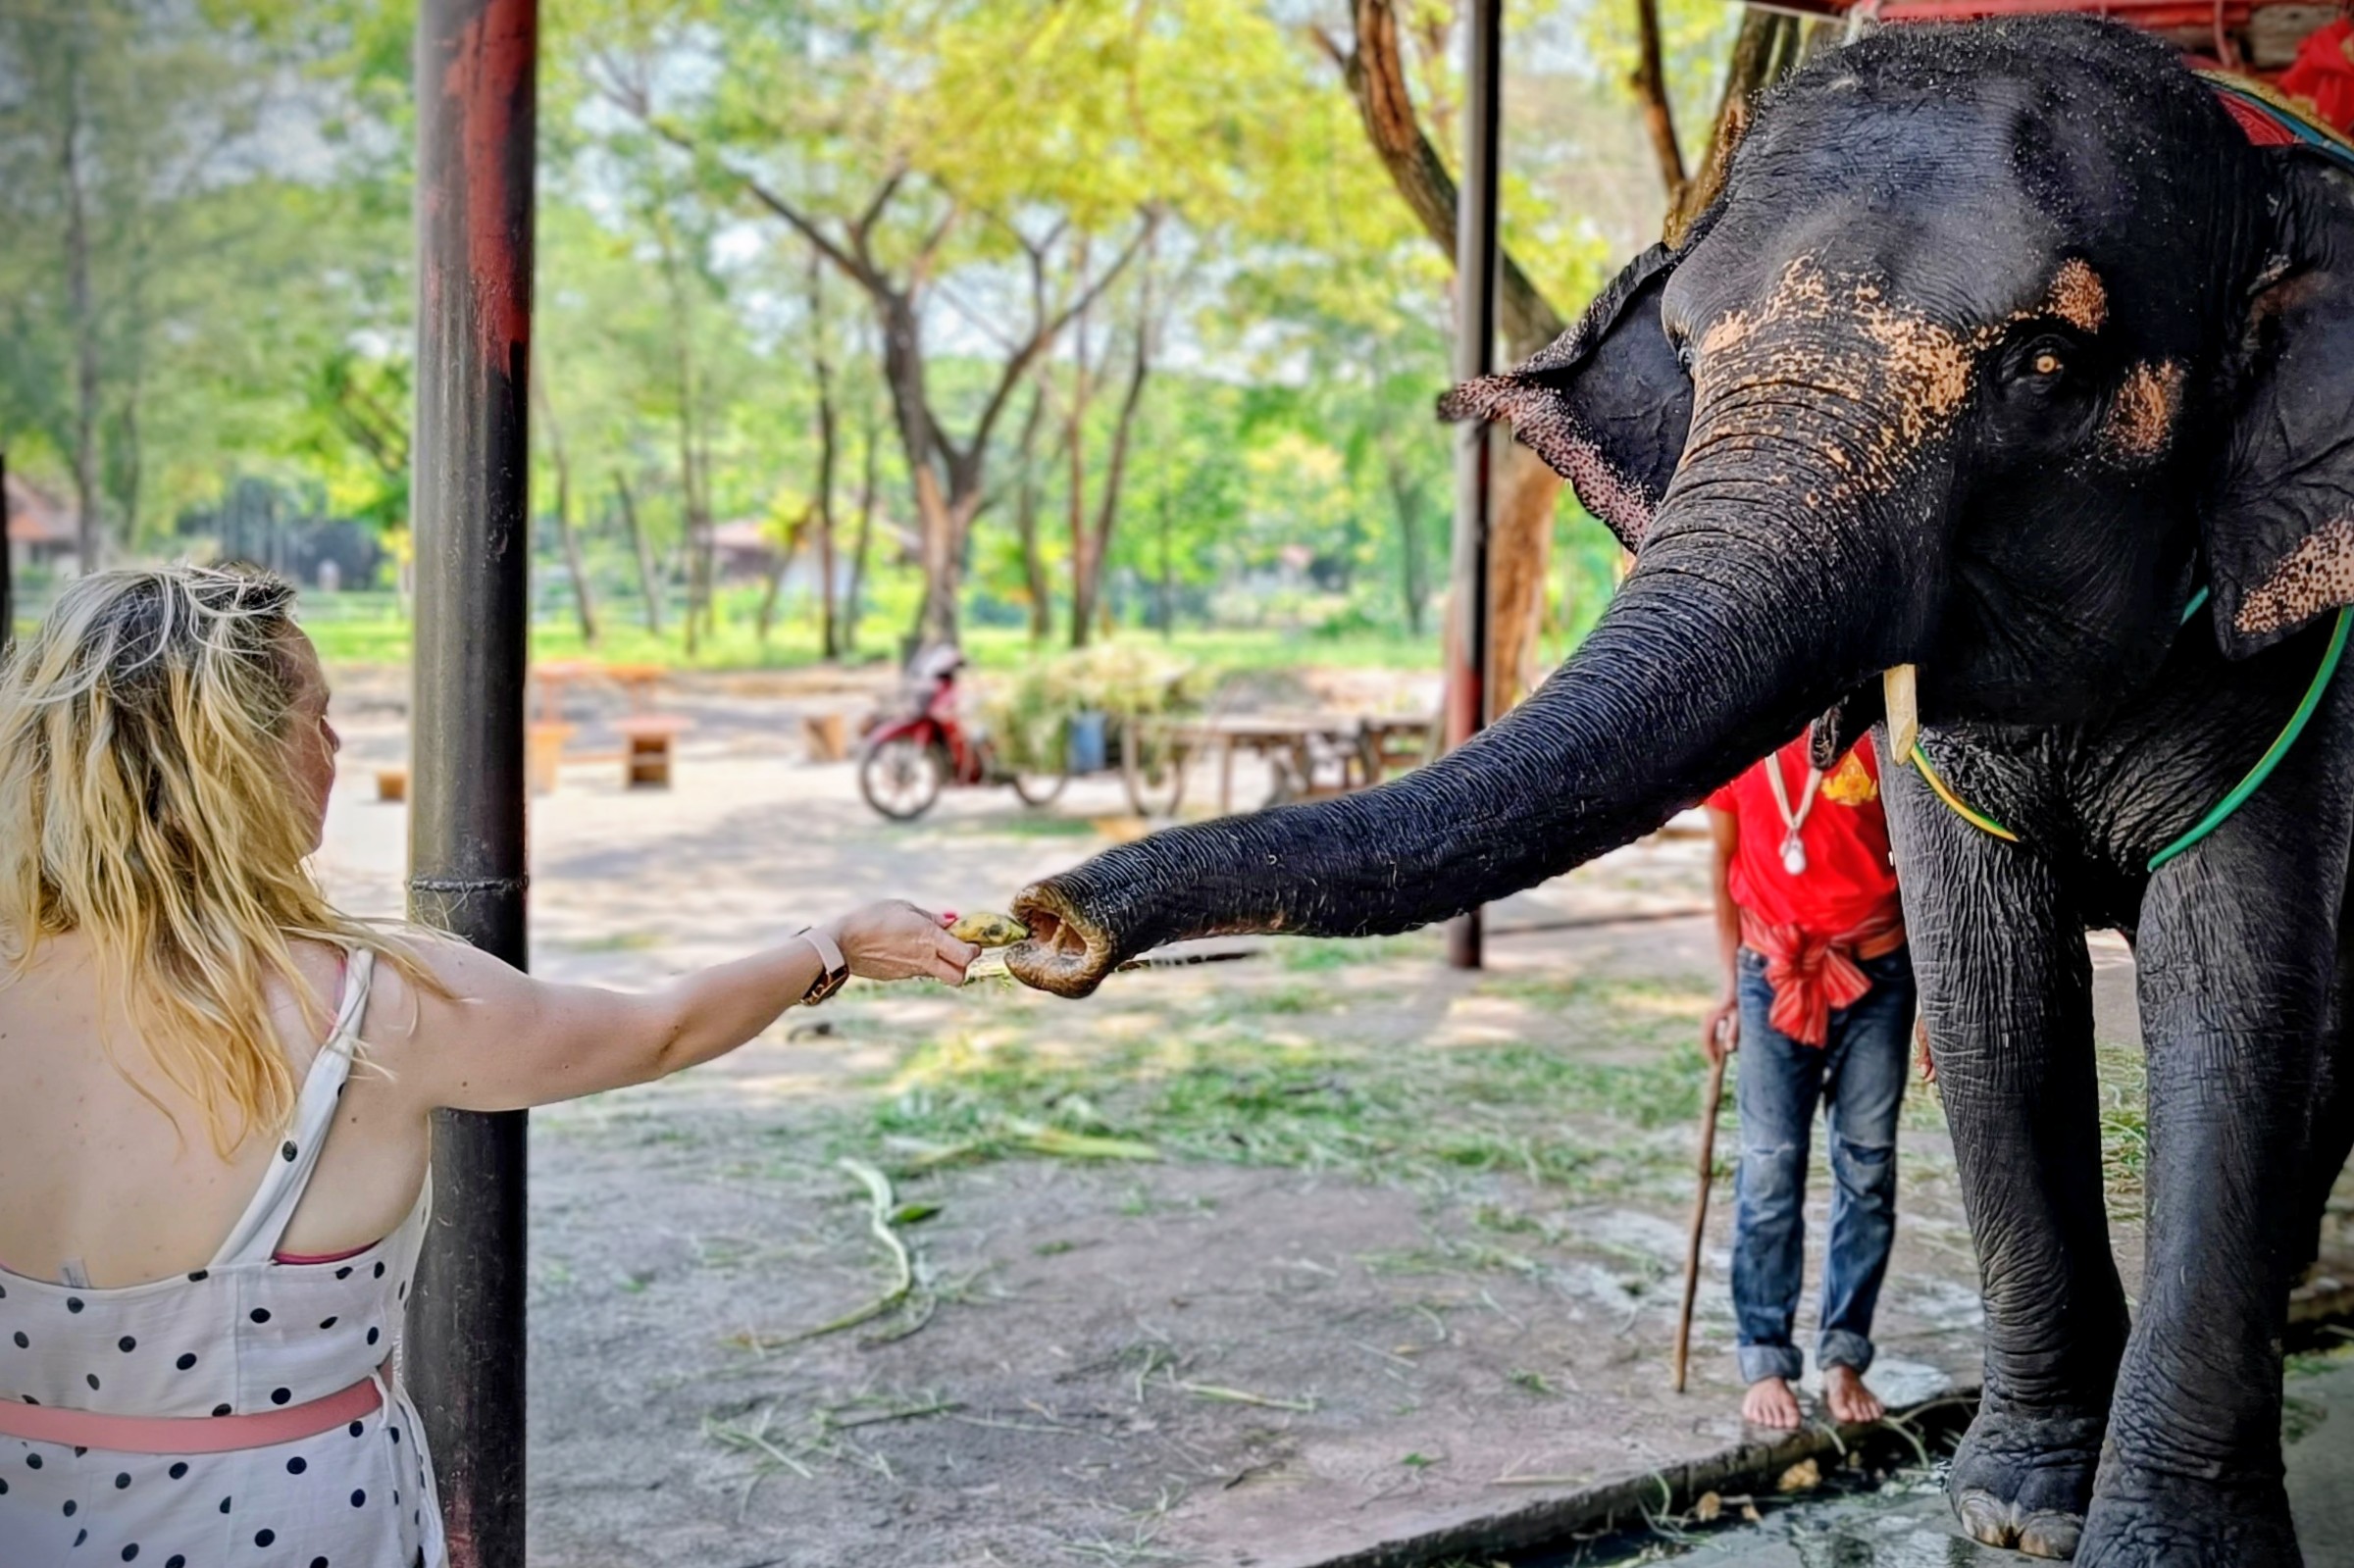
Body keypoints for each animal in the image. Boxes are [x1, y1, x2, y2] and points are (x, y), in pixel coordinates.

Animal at [1004, 15, 2354, 1565]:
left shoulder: (2301, 657)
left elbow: (2228, 993)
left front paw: (2146, 1547)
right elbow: (1989, 989)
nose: (1044, 925)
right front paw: (2012, 1515)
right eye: (1693, 350)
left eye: (2050, 363)